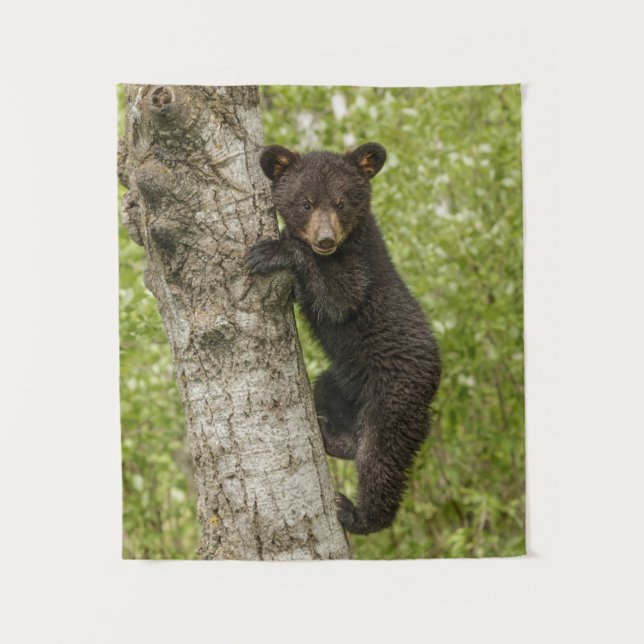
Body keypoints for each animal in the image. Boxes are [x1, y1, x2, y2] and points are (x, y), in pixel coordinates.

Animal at [245, 142, 441, 535]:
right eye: (306, 203)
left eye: (341, 202)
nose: (325, 239)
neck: (348, 242)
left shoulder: (361, 267)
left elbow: (339, 296)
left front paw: (272, 250)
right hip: (342, 380)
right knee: (331, 399)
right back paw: (331, 434)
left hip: (395, 395)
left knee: (381, 457)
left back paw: (358, 514)